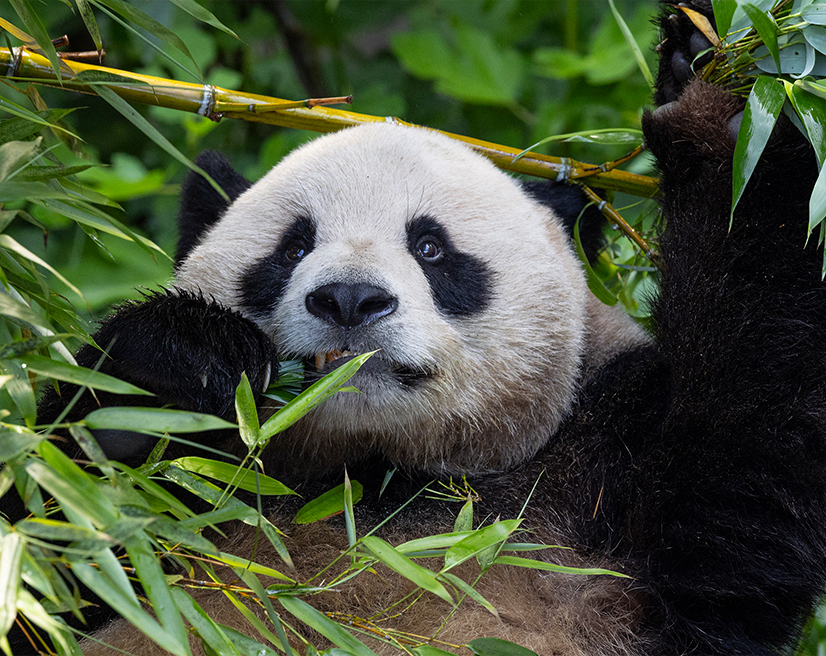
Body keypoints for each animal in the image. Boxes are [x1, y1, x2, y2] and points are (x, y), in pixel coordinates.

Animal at [8, 2, 826, 652]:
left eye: (431, 248)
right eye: (293, 247)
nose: (348, 299)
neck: (375, 478)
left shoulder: (611, 469)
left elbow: (749, 440)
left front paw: (725, 85)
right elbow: (51, 545)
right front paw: (178, 364)